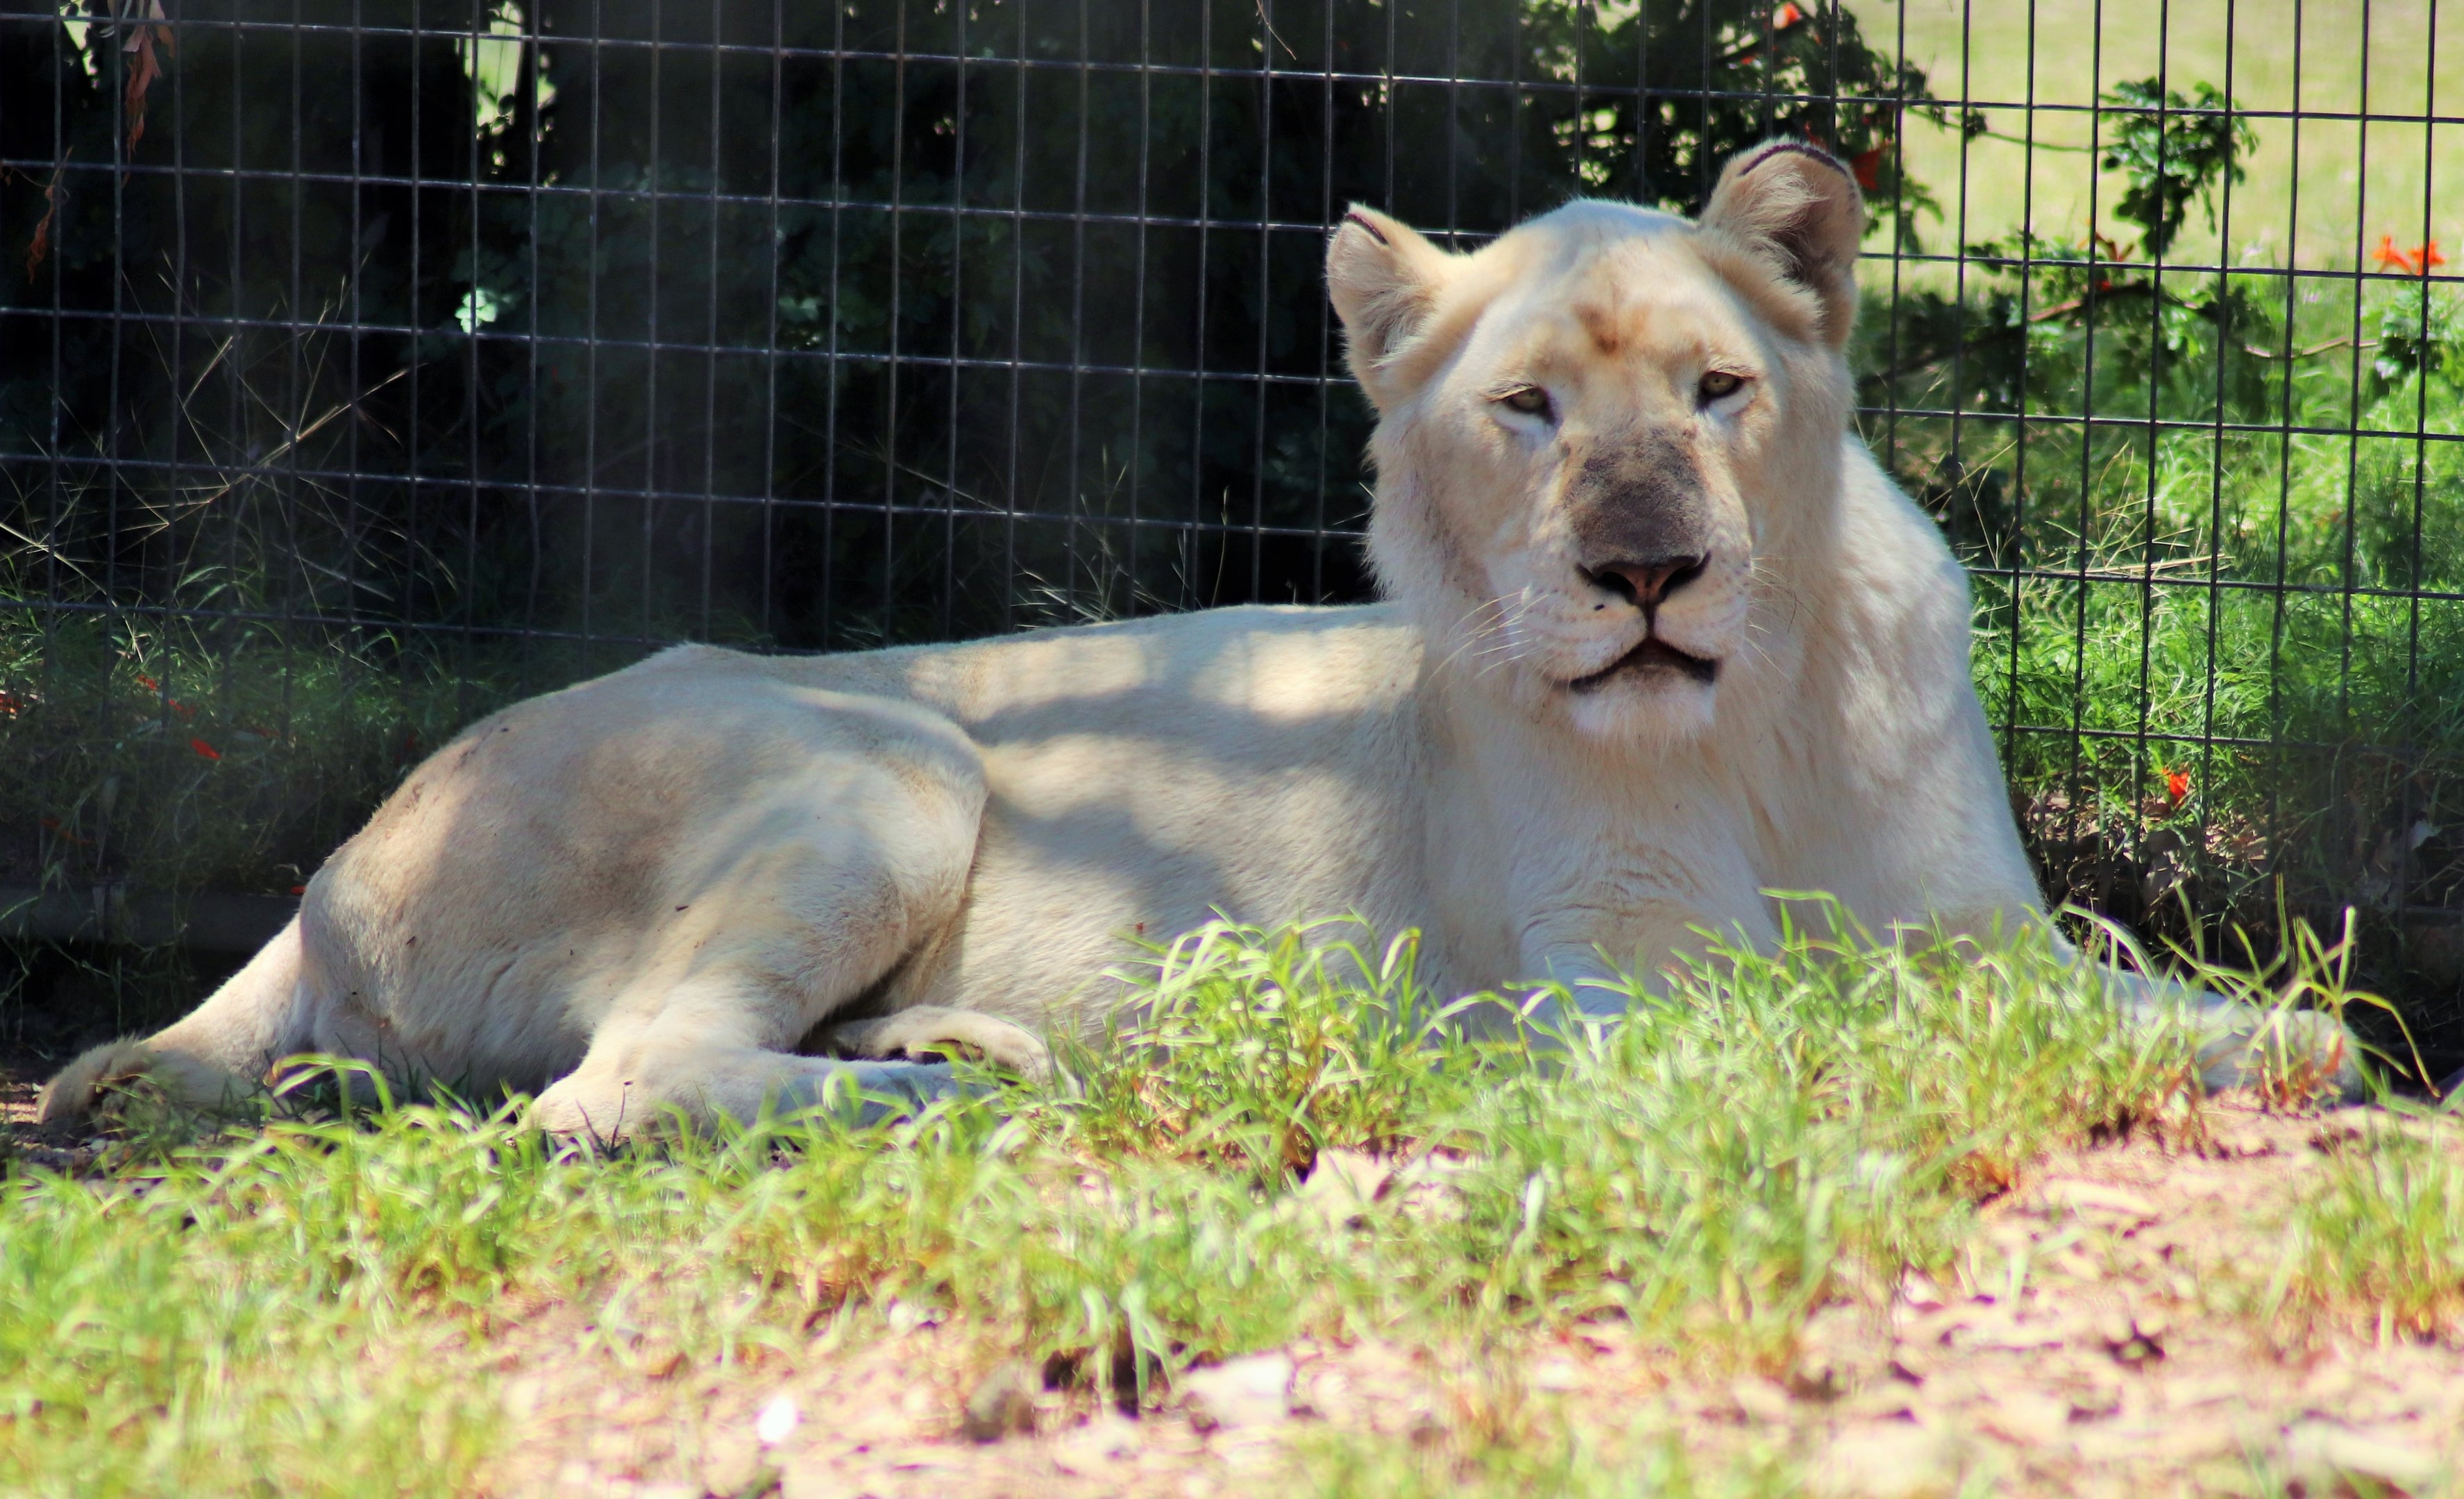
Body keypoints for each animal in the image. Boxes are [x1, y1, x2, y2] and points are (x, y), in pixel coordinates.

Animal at [37, 141, 2357, 1136]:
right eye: (1529, 413)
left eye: (1712, 394)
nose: (1645, 576)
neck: (1754, 721)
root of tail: (327, 874)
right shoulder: (1608, 1001)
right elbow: (1854, 1032)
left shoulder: (1970, 923)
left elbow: (2117, 996)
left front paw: (2268, 1033)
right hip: (880, 754)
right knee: (611, 1091)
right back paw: (953, 1107)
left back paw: (955, 1052)